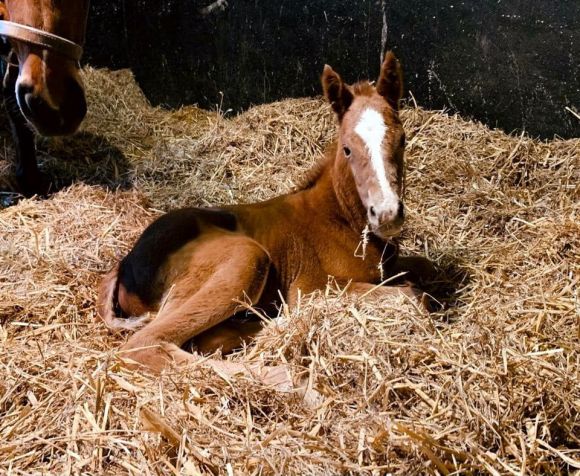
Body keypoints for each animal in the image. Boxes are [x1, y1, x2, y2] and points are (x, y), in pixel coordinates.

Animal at [98, 50, 426, 388]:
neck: (340, 218)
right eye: (347, 149)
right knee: (147, 343)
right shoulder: (311, 290)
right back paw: (291, 379)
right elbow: (414, 296)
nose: (387, 214)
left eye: (402, 140)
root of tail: (125, 263)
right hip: (246, 257)